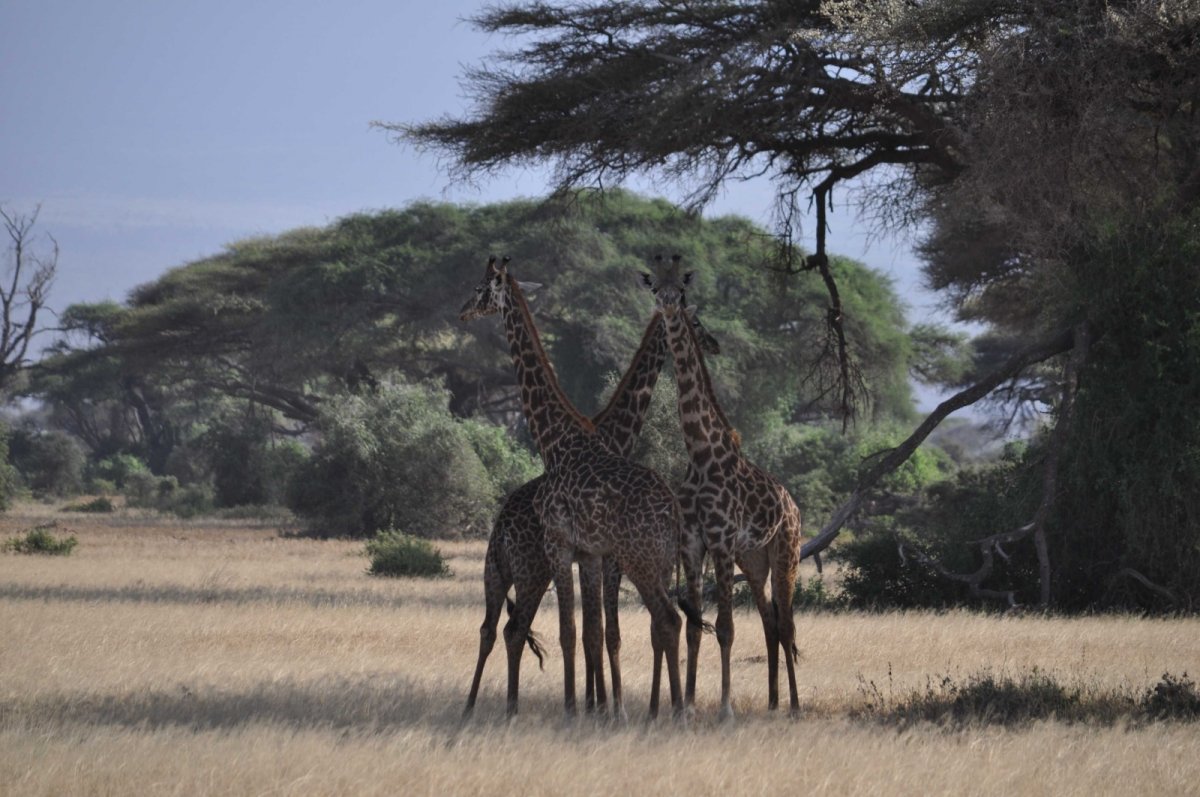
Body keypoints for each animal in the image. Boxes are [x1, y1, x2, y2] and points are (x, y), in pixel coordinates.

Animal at [460, 256, 700, 720]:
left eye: (480, 288)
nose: (462, 311)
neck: (559, 439)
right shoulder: (587, 553)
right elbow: (590, 632)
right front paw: (597, 707)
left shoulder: (569, 546)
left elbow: (582, 631)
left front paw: (589, 708)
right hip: (504, 570)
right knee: (497, 628)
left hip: (616, 562)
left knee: (665, 620)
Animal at [643, 256, 801, 720]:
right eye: (654, 288)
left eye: (683, 292)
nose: (668, 305)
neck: (700, 452)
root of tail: (794, 505)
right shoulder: (693, 544)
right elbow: (696, 629)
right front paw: (687, 706)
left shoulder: (722, 541)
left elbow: (726, 629)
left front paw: (725, 709)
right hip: (756, 561)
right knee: (770, 622)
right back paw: (772, 703)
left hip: (786, 553)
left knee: (787, 623)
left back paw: (795, 705)